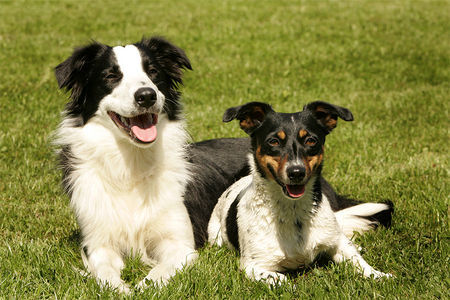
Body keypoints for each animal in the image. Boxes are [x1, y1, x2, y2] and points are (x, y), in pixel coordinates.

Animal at [54, 36, 250, 292]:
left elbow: (158, 274)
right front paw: (120, 289)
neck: (131, 163)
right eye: (111, 76)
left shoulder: (180, 244)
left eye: (153, 71)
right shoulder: (98, 243)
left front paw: (143, 286)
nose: (146, 95)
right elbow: (104, 273)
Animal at [208, 101, 394, 284]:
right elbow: (280, 280)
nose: (296, 172)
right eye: (273, 141)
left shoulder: (338, 243)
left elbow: (358, 261)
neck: (294, 211)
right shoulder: (253, 265)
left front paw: (378, 274)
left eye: (311, 140)